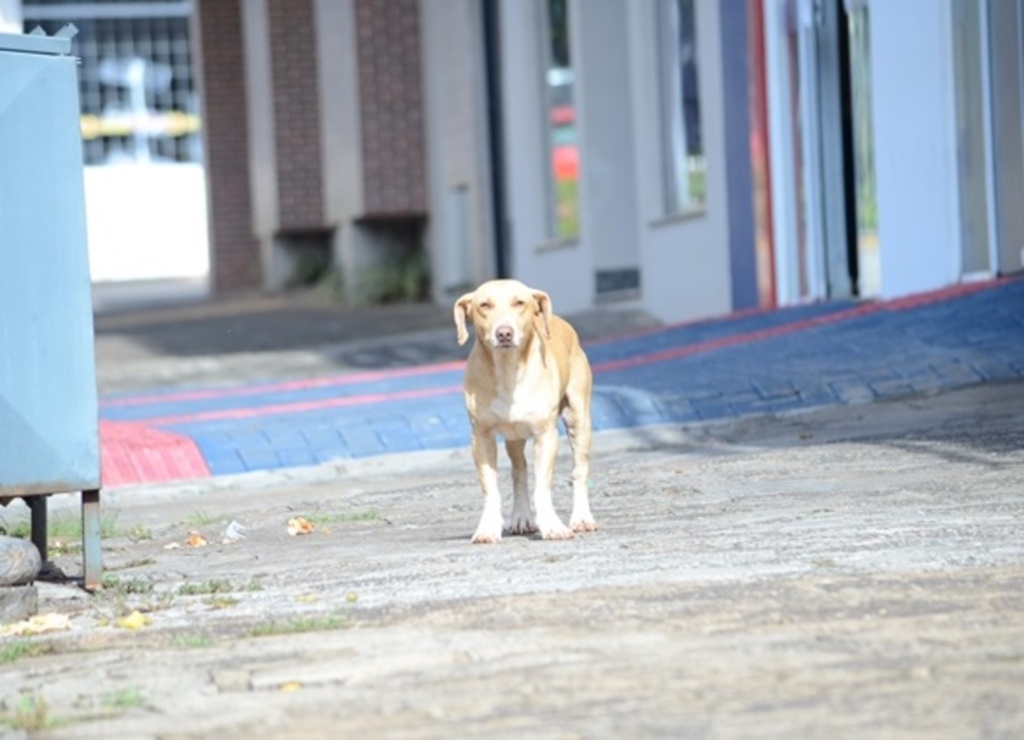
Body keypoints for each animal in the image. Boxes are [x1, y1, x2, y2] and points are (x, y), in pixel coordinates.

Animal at [452, 278, 598, 544]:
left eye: (519, 302)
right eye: (484, 305)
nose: (504, 332)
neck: (508, 370)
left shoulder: (545, 434)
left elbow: (542, 485)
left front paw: (552, 525)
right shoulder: (481, 436)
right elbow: (491, 488)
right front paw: (488, 528)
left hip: (579, 419)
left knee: (579, 469)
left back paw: (582, 518)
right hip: (514, 437)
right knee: (519, 471)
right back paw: (521, 517)